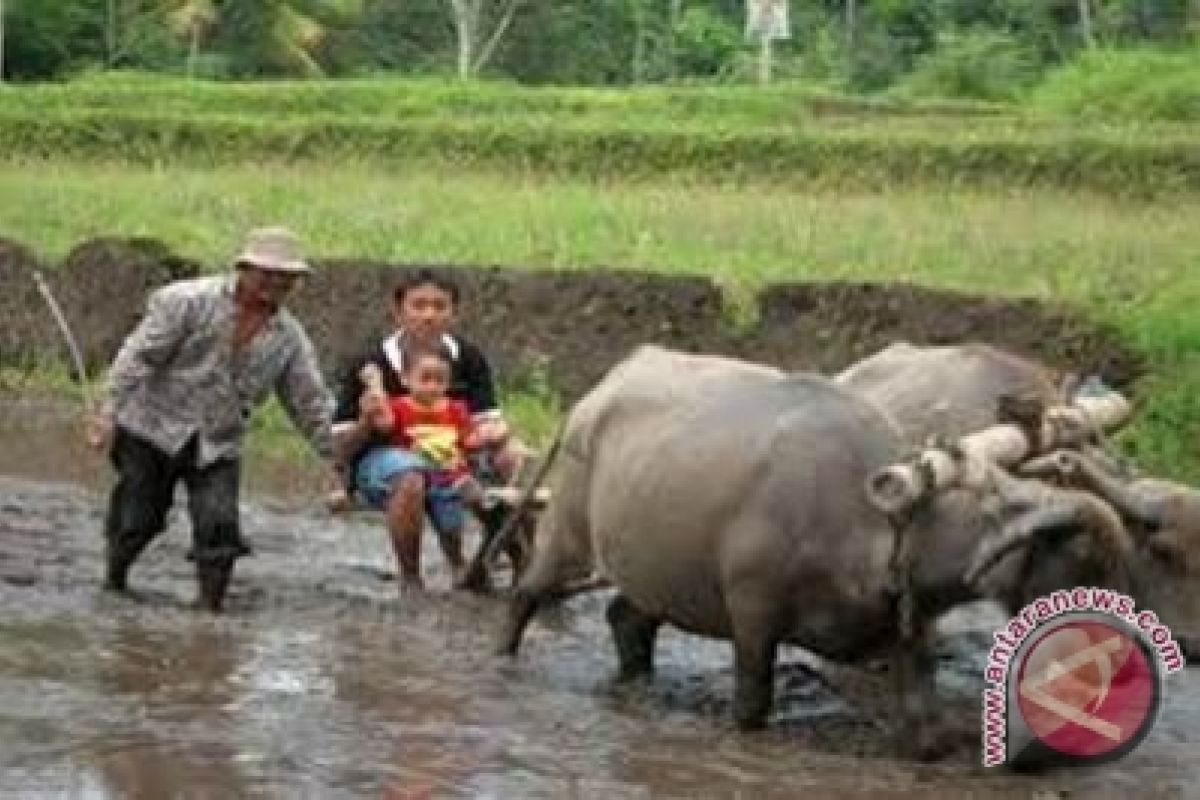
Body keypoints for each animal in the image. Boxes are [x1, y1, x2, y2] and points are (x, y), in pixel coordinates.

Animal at [501, 345, 1137, 753]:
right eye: (1079, 562)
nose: (1113, 669)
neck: (879, 521)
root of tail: (597, 394)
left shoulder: (909, 627)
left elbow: (929, 732)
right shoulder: (753, 616)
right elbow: (752, 705)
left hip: (655, 569)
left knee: (626, 617)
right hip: (567, 534)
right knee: (527, 593)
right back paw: (504, 659)